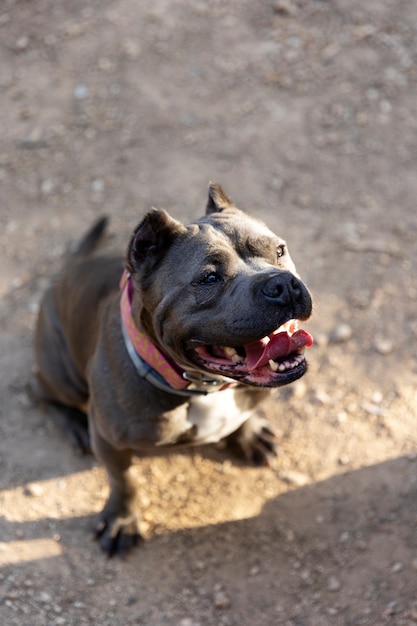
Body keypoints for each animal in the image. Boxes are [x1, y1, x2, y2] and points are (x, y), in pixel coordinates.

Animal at [33, 183, 312, 552]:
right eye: (209, 278)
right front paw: (122, 519)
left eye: (279, 250)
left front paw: (249, 434)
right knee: (38, 390)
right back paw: (74, 423)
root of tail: (64, 273)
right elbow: (123, 480)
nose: (282, 285)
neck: (203, 386)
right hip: (63, 373)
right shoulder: (109, 442)